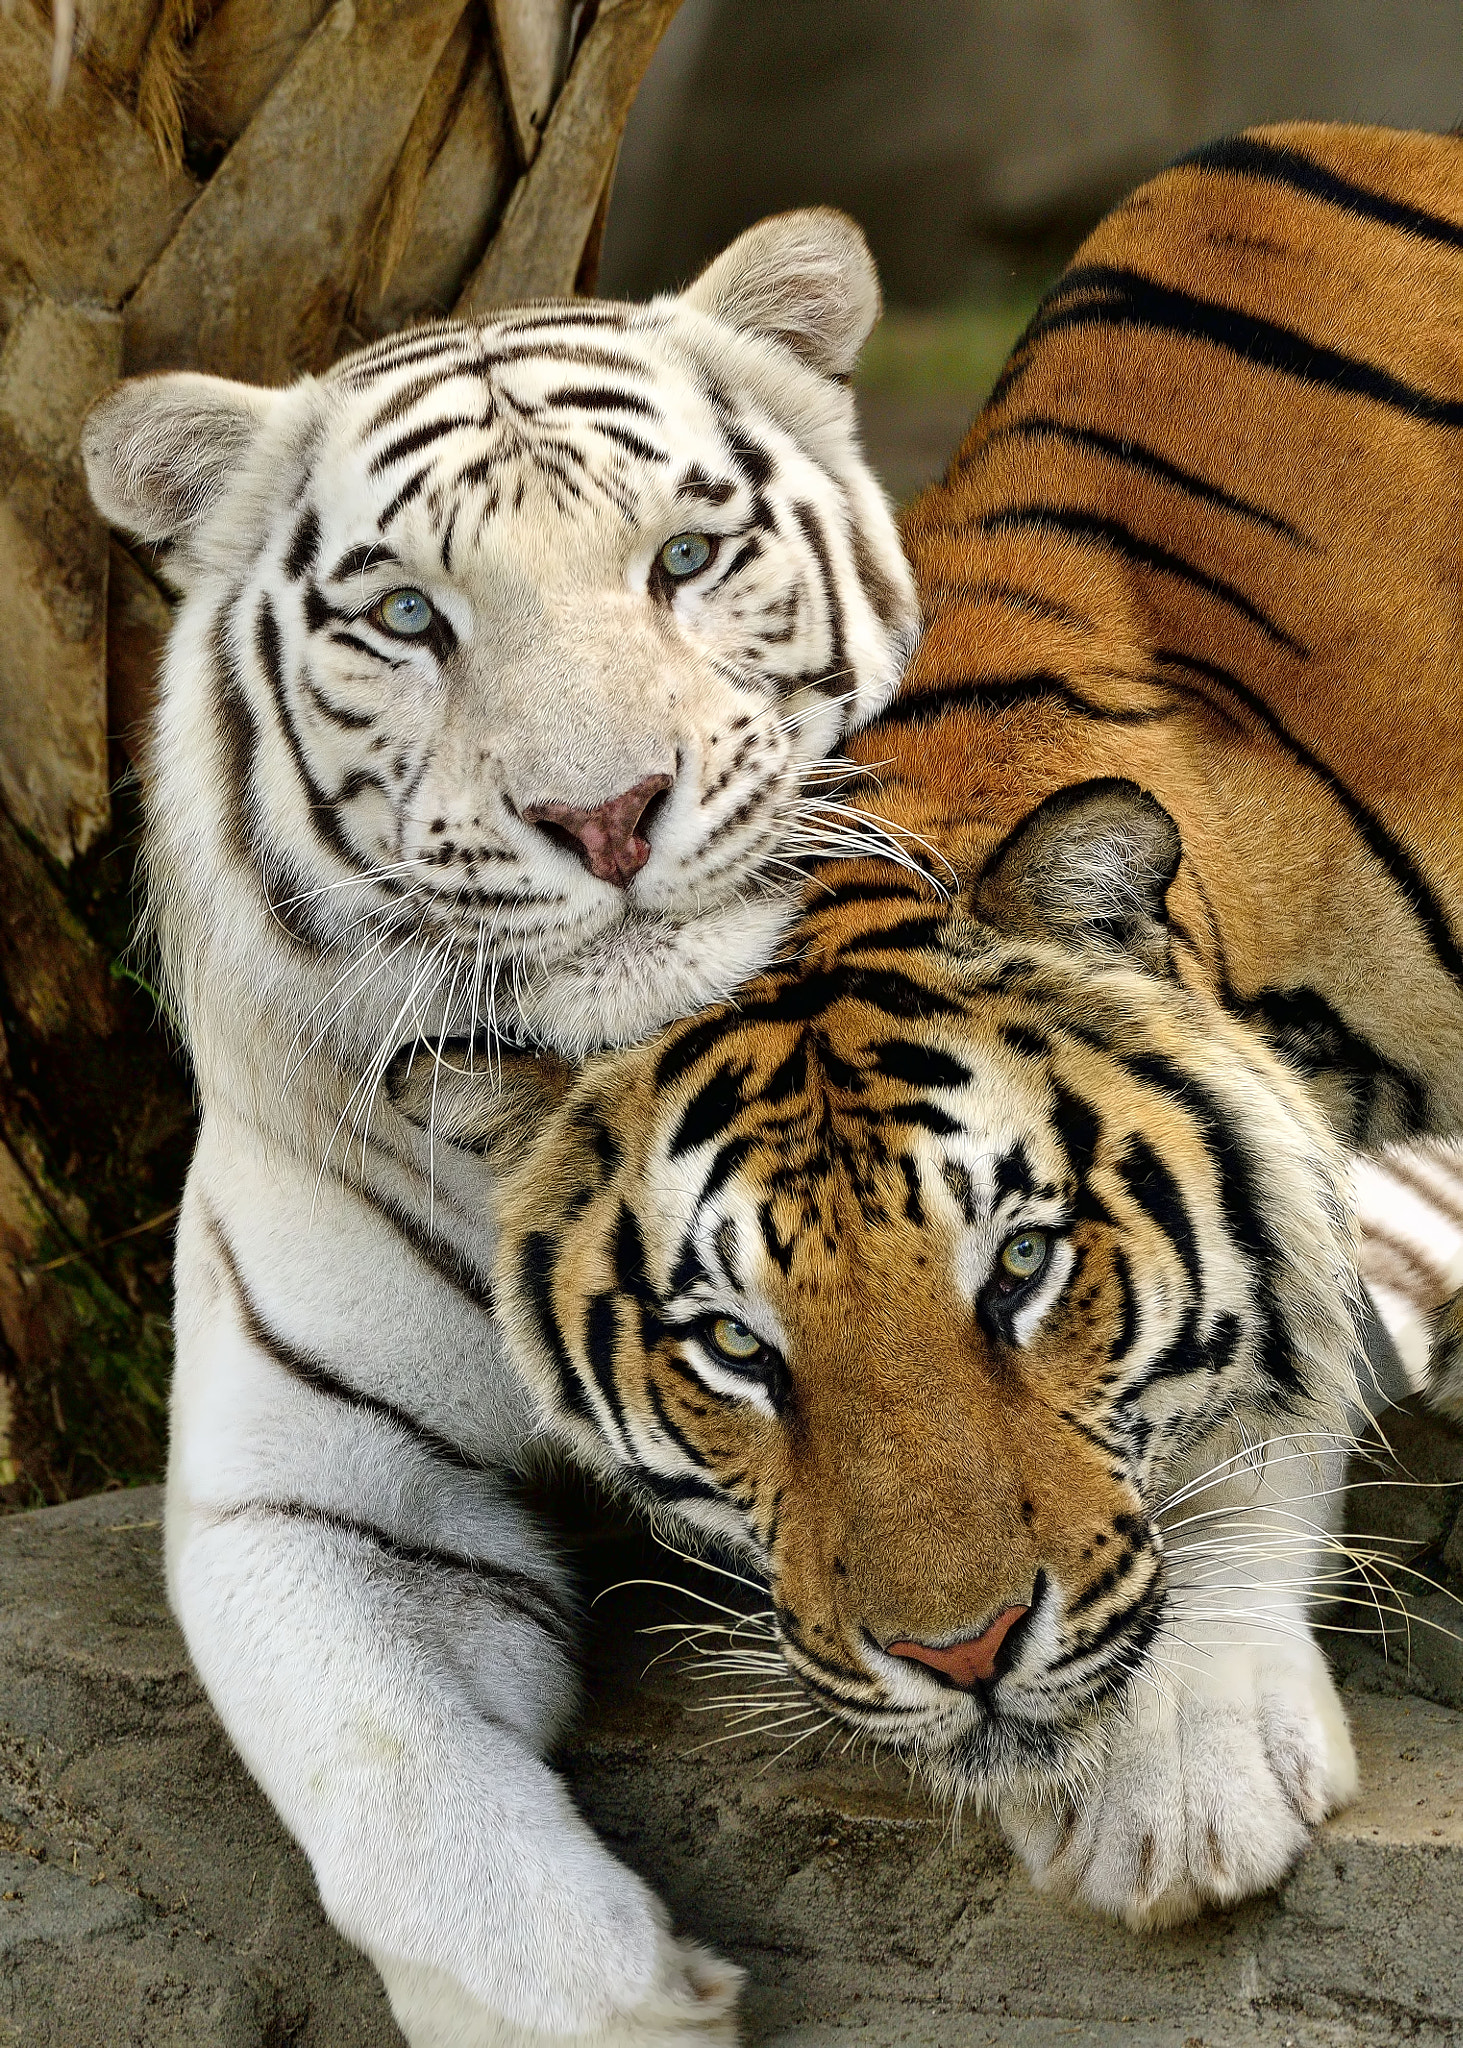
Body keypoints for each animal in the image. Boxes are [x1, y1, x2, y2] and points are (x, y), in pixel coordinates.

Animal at [79, 211, 909, 2048]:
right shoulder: (312, 1488)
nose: (604, 812)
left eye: (685, 556)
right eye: (408, 614)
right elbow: (387, 1771)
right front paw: (604, 2000)